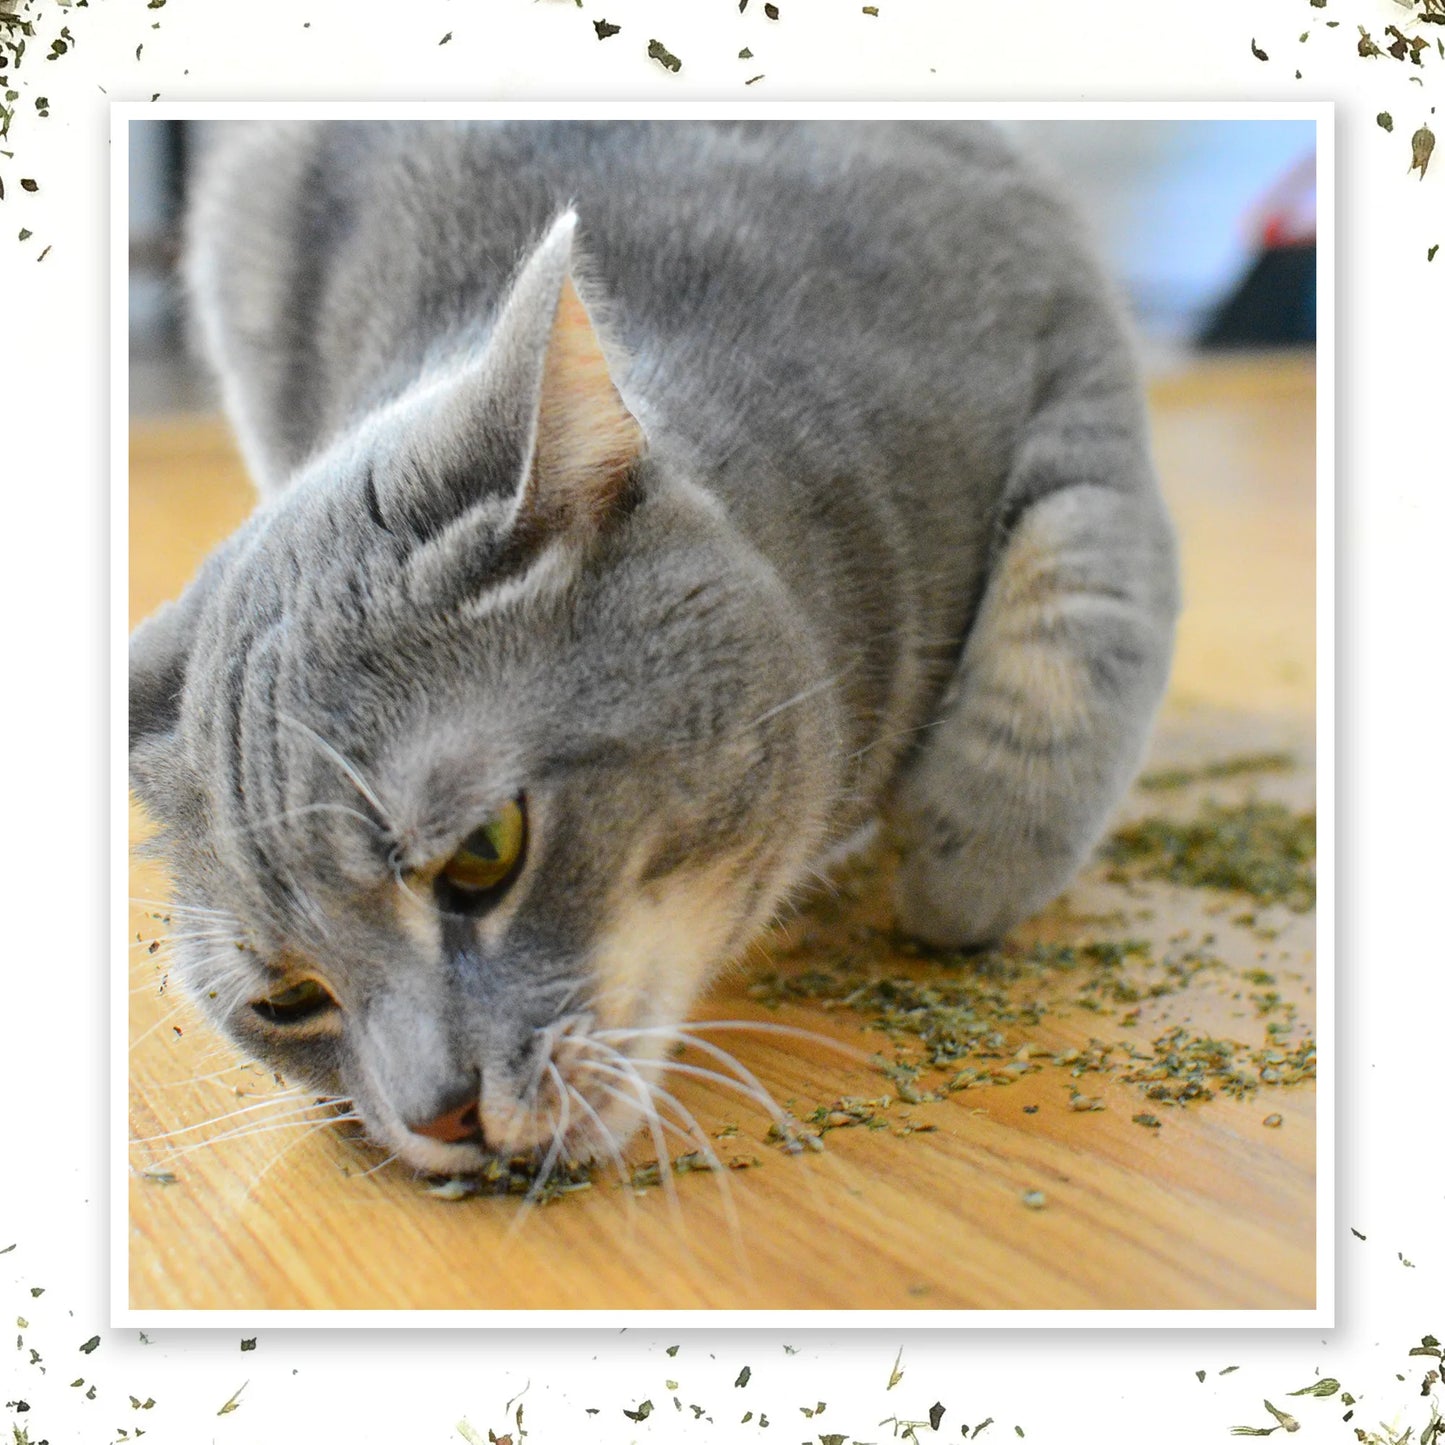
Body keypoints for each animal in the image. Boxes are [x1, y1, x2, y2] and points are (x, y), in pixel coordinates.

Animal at [130, 121, 1179, 1184]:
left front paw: (951, 871)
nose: (441, 1113)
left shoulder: (1067, 349)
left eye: (484, 852)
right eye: (287, 999)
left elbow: (1073, 598)